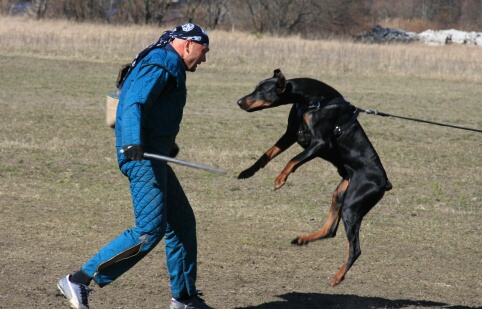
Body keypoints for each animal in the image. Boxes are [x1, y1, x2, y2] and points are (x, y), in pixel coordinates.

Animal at [237, 68, 392, 286]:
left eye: (261, 91)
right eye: (255, 88)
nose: (239, 101)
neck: (313, 100)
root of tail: (384, 182)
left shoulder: (320, 143)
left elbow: (293, 159)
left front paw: (280, 179)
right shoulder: (291, 133)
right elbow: (268, 153)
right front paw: (248, 171)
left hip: (352, 205)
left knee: (355, 249)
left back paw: (337, 277)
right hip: (341, 193)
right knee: (330, 230)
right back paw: (302, 240)